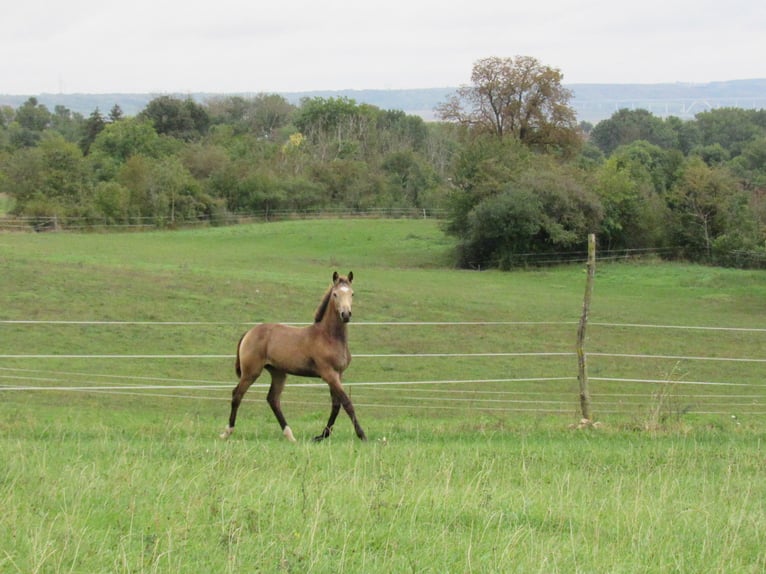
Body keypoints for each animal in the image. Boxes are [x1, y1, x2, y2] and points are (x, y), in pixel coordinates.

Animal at [220, 272, 368, 444]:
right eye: (335, 294)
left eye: (352, 294)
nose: (346, 315)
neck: (328, 336)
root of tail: (249, 332)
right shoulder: (328, 374)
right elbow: (347, 403)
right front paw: (362, 435)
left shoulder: (338, 374)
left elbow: (336, 405)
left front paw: (321, 436)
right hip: (251, 372)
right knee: (237, 394)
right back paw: (227, 432)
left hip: (278, 372)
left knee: (273, 399)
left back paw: (290, 435)